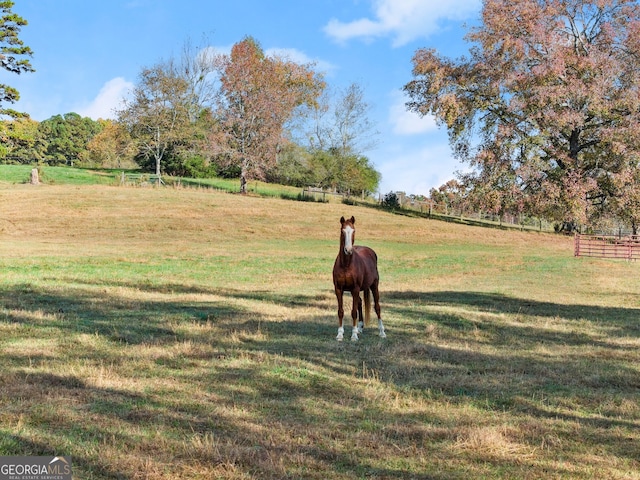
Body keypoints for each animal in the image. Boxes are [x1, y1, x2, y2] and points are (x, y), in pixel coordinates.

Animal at [336, 214, 384, 342]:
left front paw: (353, 335)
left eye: (353, 231)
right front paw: (340, 334)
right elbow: (341, 311)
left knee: (377, 307)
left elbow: (353, 312)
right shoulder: (338, 289)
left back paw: (382, 332)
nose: (348, 250)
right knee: (360, 303)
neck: (346, 265)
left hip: (374, 286)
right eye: (342, 231)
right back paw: (360, 327)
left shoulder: (355, 289)